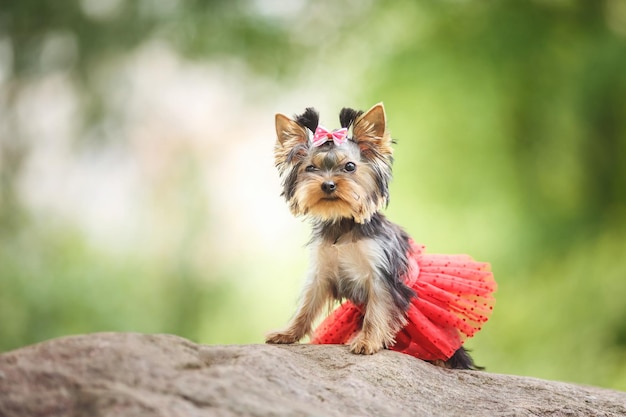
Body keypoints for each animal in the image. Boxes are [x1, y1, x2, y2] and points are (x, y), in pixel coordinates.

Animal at [266, 102, 494, 368]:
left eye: (350, 167)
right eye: (310, 168)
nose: (328, 185)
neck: (343, 223)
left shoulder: (381, 275)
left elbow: (377, 309)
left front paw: (366, 342)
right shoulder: (322, 273)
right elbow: (306, 306)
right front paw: (288, 334)